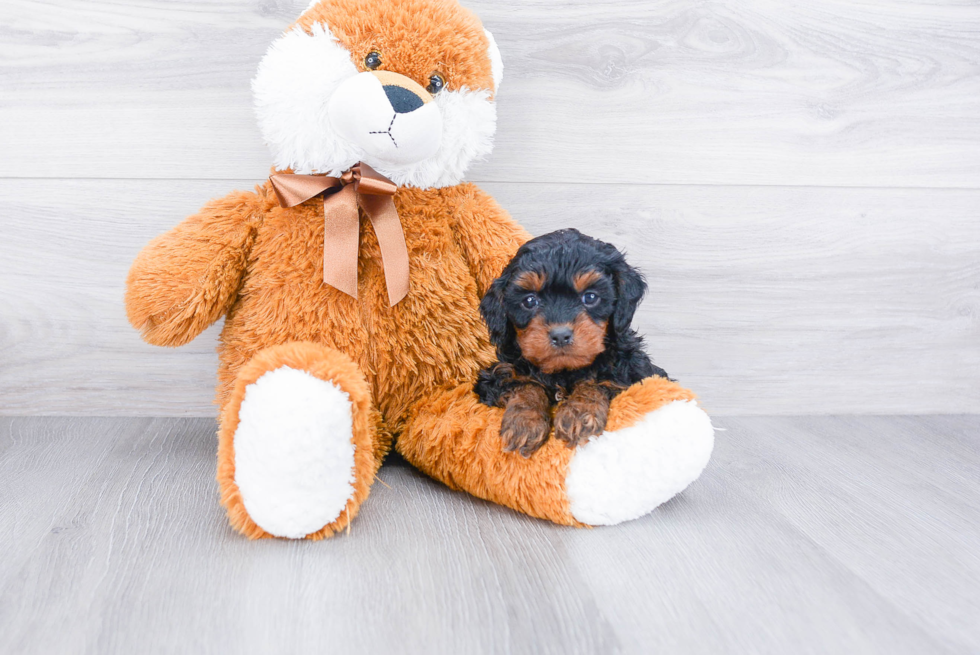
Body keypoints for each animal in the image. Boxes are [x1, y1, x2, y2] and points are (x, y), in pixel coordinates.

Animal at [476, 228, 672, 458]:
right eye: (529, 301)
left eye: (590, 297)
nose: (560, 335)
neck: (564, 372)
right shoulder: (494, 378)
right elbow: (525, 384)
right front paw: (524, 422)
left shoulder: (636, 375)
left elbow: (597, 381)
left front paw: (579, 413)